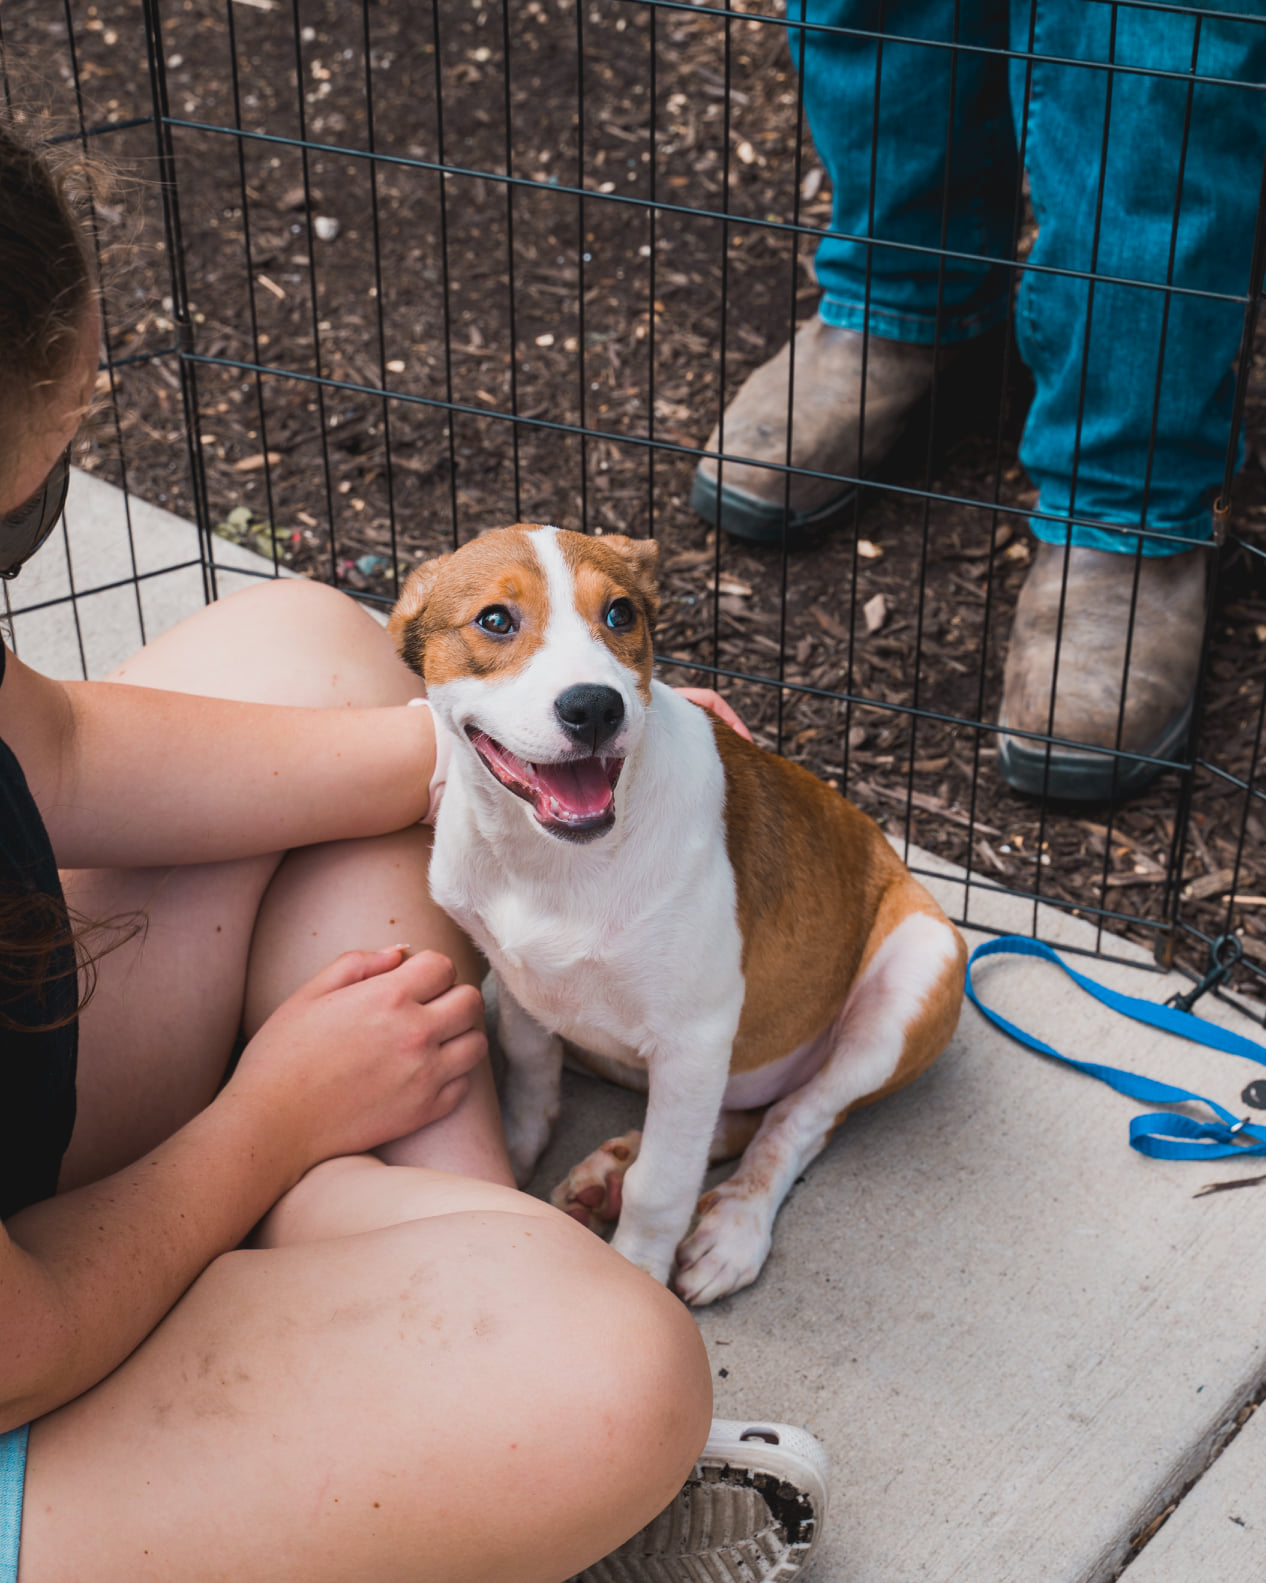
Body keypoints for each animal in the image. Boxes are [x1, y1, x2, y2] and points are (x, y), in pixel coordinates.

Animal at [390, 525, 962, 1304]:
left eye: (621, 614)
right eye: (496, 620)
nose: (595, 708)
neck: (553, 864)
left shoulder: (695, 1036)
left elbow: (663, 1185)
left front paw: (637, 1270)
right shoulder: (515, 980)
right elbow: (533, 1070)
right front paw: (514, 1153)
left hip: (919, 971)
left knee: (796, 1118)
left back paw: (731, 1228)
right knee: (731, 1120)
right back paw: (610, 1169)